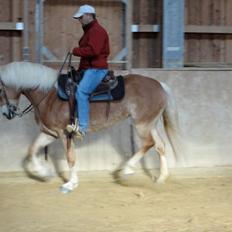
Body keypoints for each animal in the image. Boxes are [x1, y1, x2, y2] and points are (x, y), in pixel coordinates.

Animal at [0, 61, 181, 192]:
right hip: (150, 124)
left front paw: (70, 184)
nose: (6, 113)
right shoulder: (50, 133)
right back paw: (161, 178)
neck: (49, 95)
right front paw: (44, 173)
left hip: (141, 124)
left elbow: (70, 158)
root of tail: (160, 85)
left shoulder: (64, 133)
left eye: (0, 90)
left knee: (148, 143)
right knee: (160, 146)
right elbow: (32, 150)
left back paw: (127, 170)